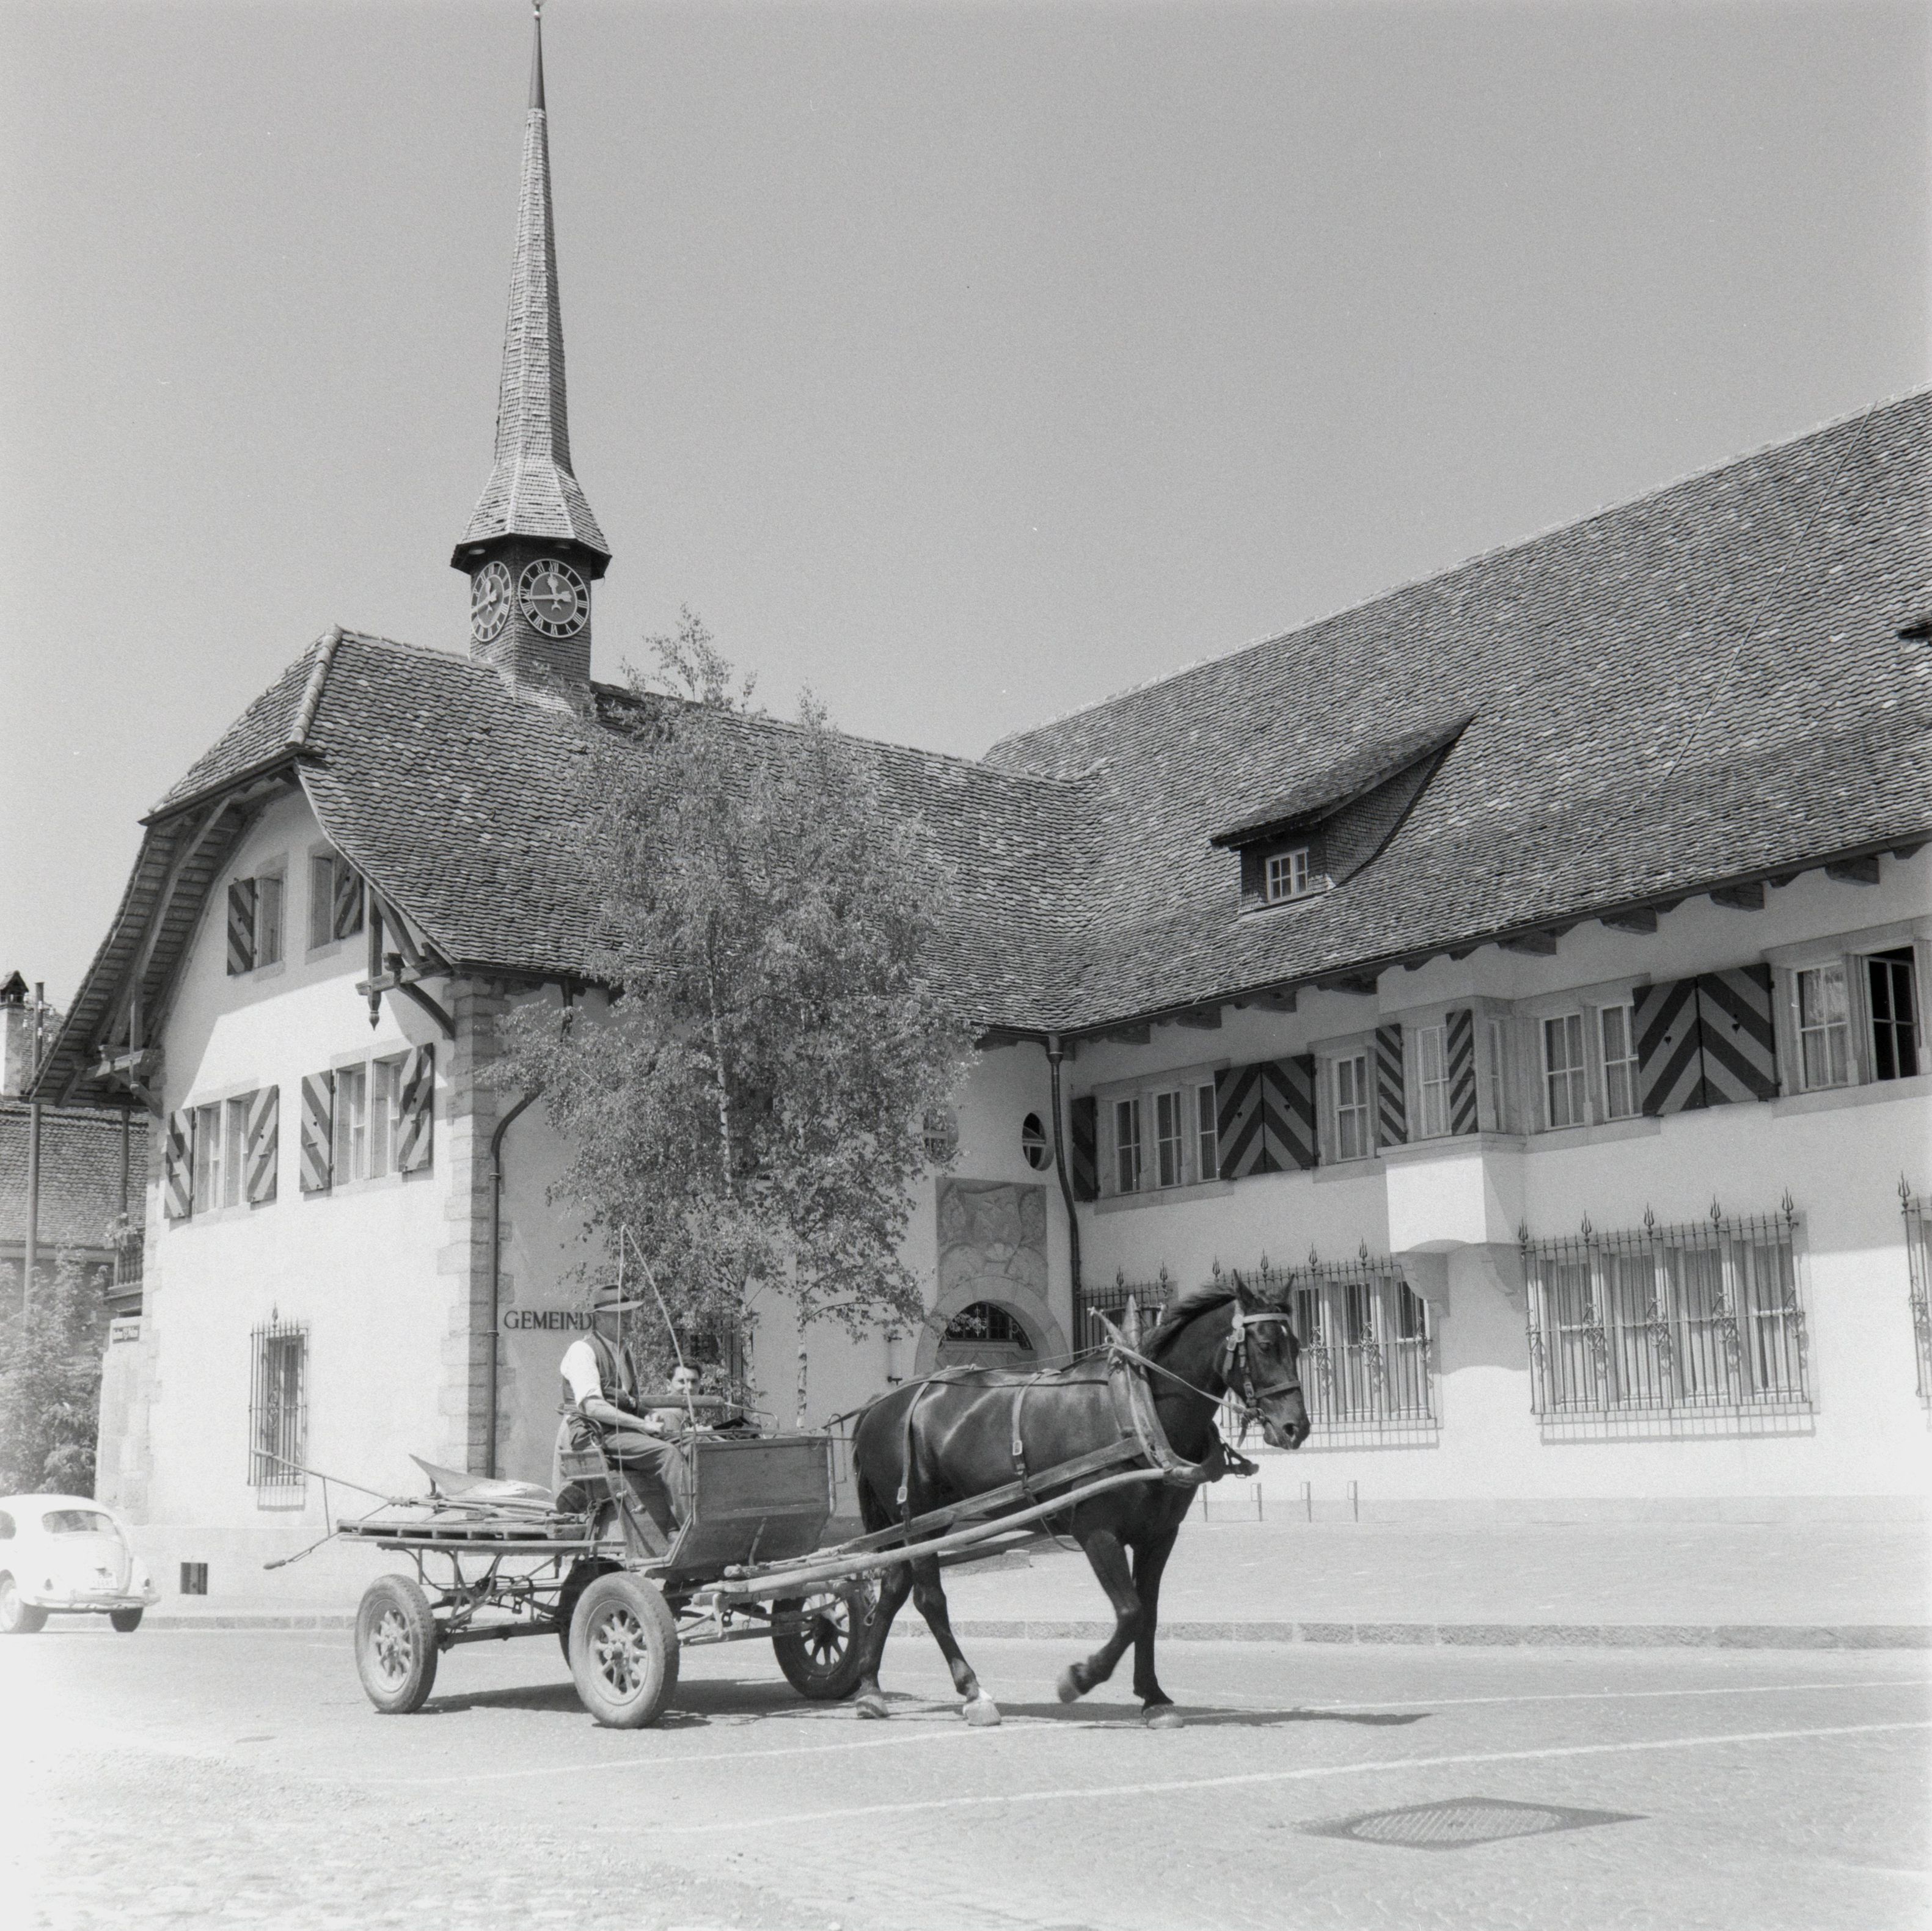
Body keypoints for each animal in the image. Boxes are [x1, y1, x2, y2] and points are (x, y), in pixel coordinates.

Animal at [845, 1272, 1309, 1728]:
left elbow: (1150, 1613)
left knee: (892, 1589)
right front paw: (1080, 1677)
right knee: (929, 1600)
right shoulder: (1097, 1531)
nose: (1296, 1427)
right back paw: (972, 1691)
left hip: (925, 1523)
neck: (1138, 1410)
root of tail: (878, 1404)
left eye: (1297, 1345)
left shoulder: (1159, 1535)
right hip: (917, 1514)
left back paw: (869, 1688)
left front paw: (1154, 1697)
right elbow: (1130, 1612)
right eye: (1265, 1344)